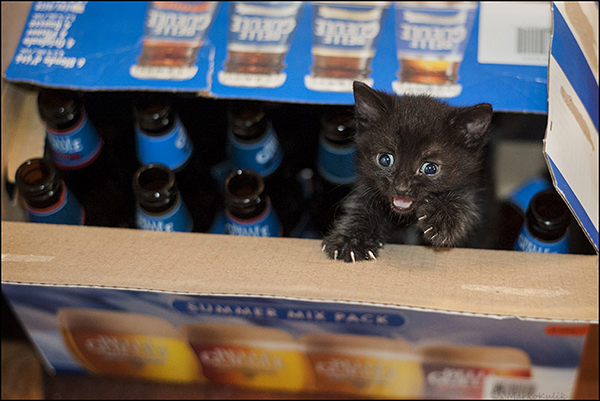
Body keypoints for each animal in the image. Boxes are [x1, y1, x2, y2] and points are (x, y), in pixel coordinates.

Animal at [324, 81, 492, 262]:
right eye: (385, 159)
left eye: (430, 168)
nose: (401, 188)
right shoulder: (365, 187)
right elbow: (360, 206)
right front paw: (350, 240)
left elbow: (465, 204)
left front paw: (441, 220)